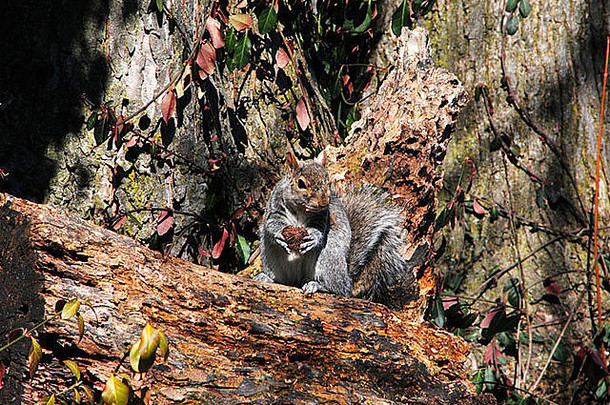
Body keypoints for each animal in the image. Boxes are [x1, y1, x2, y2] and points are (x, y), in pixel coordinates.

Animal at [254, 149, 406, 304]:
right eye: (301, 183)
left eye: (328, 182)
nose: (324, 202)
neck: (301, 209)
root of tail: (347, 278)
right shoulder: (275, 206)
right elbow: (272, 222)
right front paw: (279, 234)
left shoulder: (322, 217)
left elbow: (320, 229)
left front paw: (313, 238)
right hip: (270, 256)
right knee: (282, 280)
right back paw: (266, 278)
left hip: (329, 258)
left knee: (339, 290)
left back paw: (318, 285)